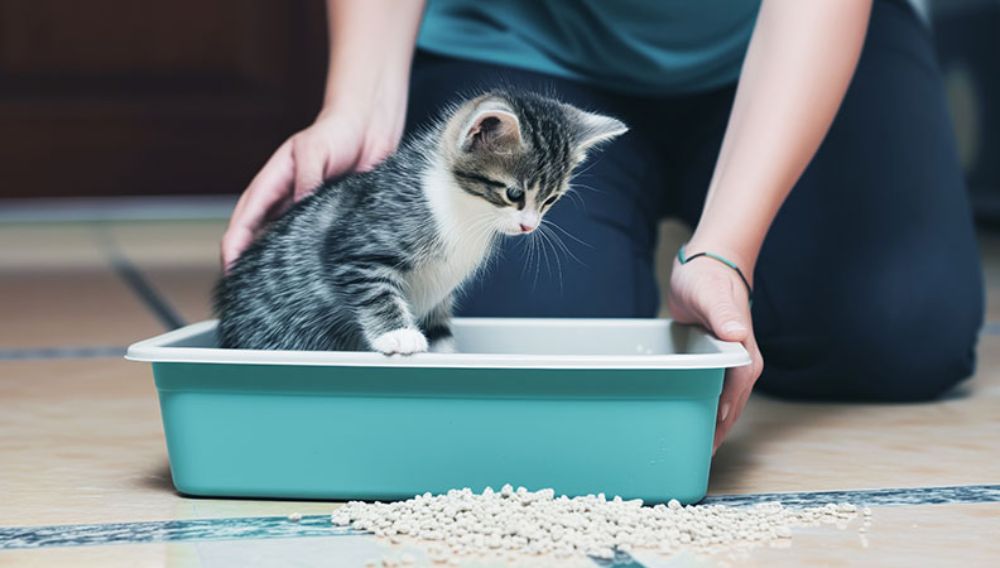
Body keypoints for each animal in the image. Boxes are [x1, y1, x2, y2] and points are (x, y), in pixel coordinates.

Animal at [216, 90, 628, 352]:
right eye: (513, 194)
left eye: (550, 200)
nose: (529, 226)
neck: (466, 211)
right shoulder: (357, 244)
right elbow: (375, 288)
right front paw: (397, 335)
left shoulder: (441, 296)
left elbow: (440, 331)